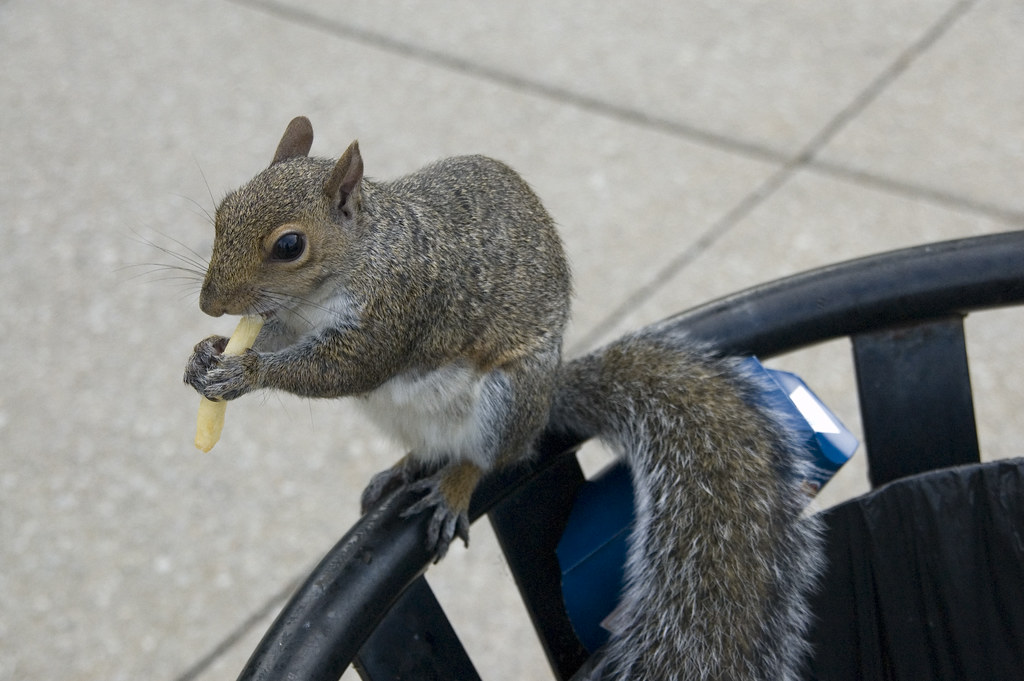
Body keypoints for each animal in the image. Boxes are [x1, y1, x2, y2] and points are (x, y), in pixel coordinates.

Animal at [184, 116, 823, 680]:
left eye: (289, 245)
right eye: (221, 213)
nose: (209, 304)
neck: (339, 275)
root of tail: (544, 405)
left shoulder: (399, 307)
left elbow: (343, 369)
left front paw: (246, 371)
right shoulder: (294, 320)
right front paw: (205, 354)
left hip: (506, 401)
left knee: (488, 456)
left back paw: (453, 488)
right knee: (431, 447)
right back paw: (403, 467)